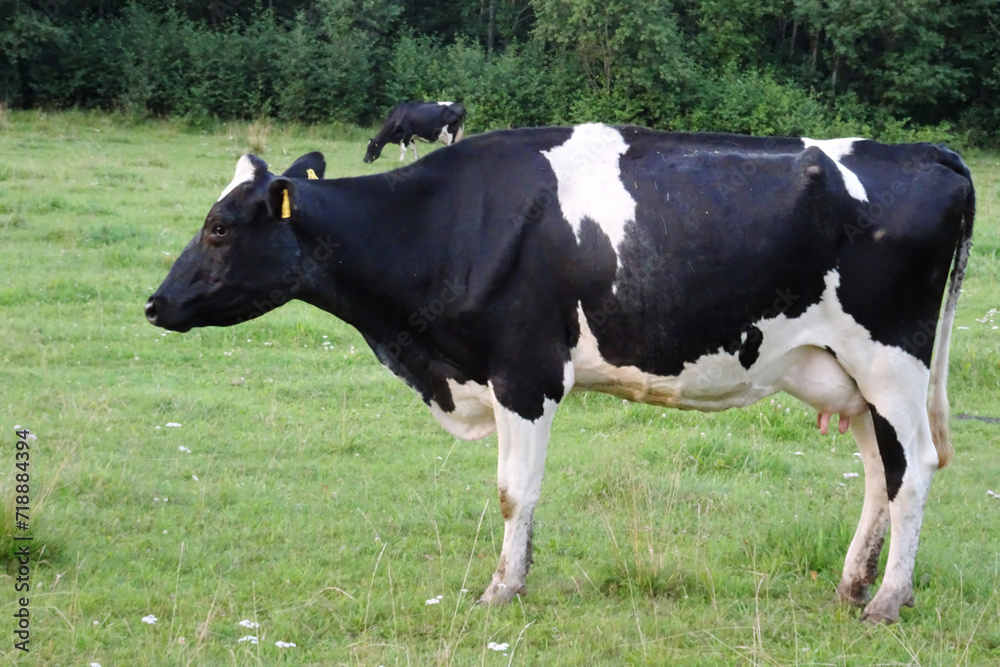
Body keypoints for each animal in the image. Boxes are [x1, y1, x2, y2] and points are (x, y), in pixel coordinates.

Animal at [145, 125, 972, 628]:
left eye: (218, 227)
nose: (154, 302)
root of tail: (932, 152)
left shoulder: (525, 372)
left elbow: (515, 491)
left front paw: (502, 587)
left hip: (892, 364)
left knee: (917, 471)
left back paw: (887, 599)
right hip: (850, 379)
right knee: (882, 475)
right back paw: (853, 583)